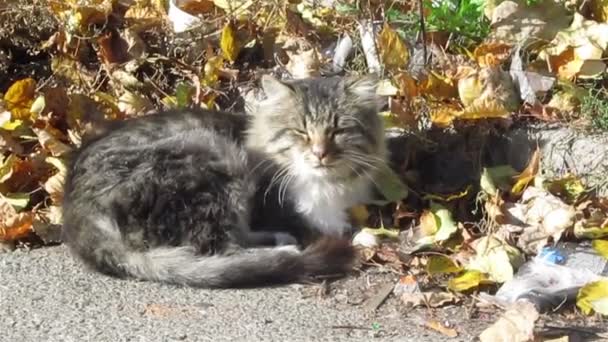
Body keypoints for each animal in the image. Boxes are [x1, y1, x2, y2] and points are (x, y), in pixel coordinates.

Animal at [60, 75, 384, 288]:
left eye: (337, 131)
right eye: (300, 132)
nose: (320, 153)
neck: (323, 183)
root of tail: (76, 208)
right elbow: (319, 224)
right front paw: (361, 237)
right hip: (212, 155)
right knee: (220, 248)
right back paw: (284, 250)